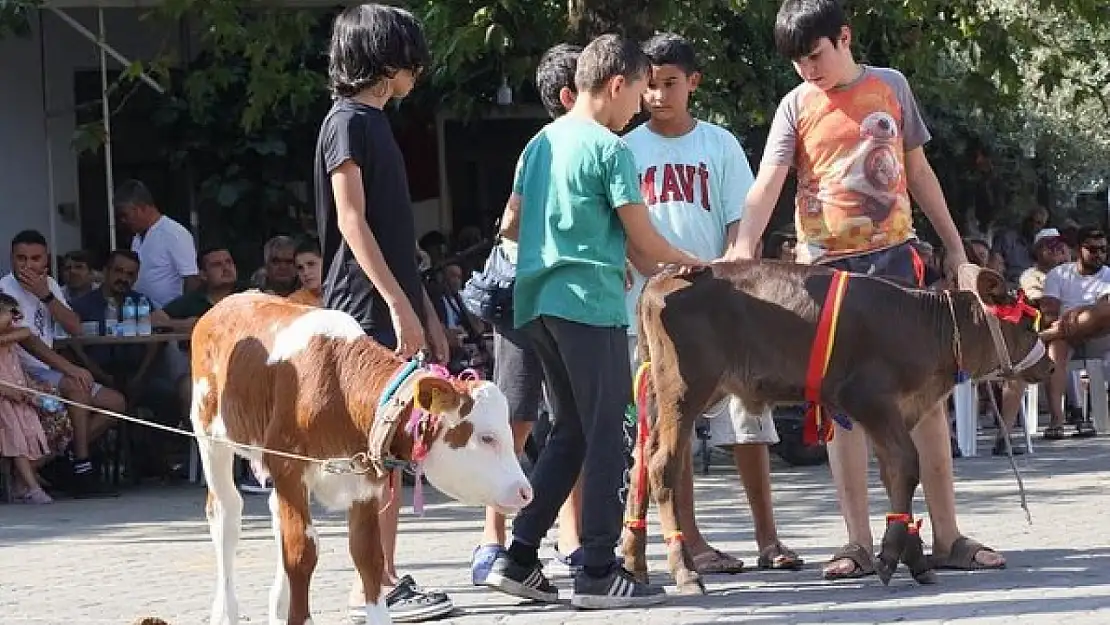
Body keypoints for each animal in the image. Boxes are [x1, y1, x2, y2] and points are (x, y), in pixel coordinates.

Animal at [187, 293, 532, 625]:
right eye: (487, 437)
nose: (525, 492)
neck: (338, 387)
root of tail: (226, 303)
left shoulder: (363, 483)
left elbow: (368, 556)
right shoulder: (288, 467)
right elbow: (301, 552)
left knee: (273, 511)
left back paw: (278, 606)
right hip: (210, 436)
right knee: (226, 513)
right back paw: (226, 612)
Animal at [626, 261, 1047, 595]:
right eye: (1028, 324)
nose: (1051, 364)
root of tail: (663, 277)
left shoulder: (897, 411)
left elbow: (896, 475)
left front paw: (916, 562)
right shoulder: (868, 398)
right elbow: (907, 465)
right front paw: (890, 559)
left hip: (666, 392)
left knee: (640, 462)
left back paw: (635, 566)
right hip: (684, 386)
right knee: (663, 465)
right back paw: (684, 573)